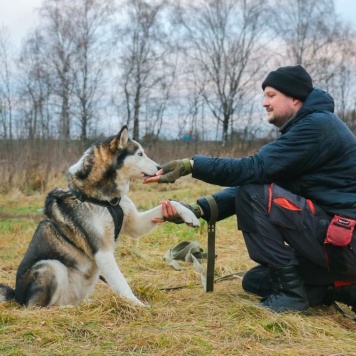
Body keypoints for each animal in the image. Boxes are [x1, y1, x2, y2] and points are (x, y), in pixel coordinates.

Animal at [0, 126, 200, 308]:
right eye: (140, 154)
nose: (160, 168)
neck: (108, 201)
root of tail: (17, 295)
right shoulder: (102, 253)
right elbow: (122, 283)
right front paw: (139, 306)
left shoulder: (134, 225)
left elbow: (171, 203)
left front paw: (189, 215)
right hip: (50, 265)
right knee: (37, 307)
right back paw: (68, 308)